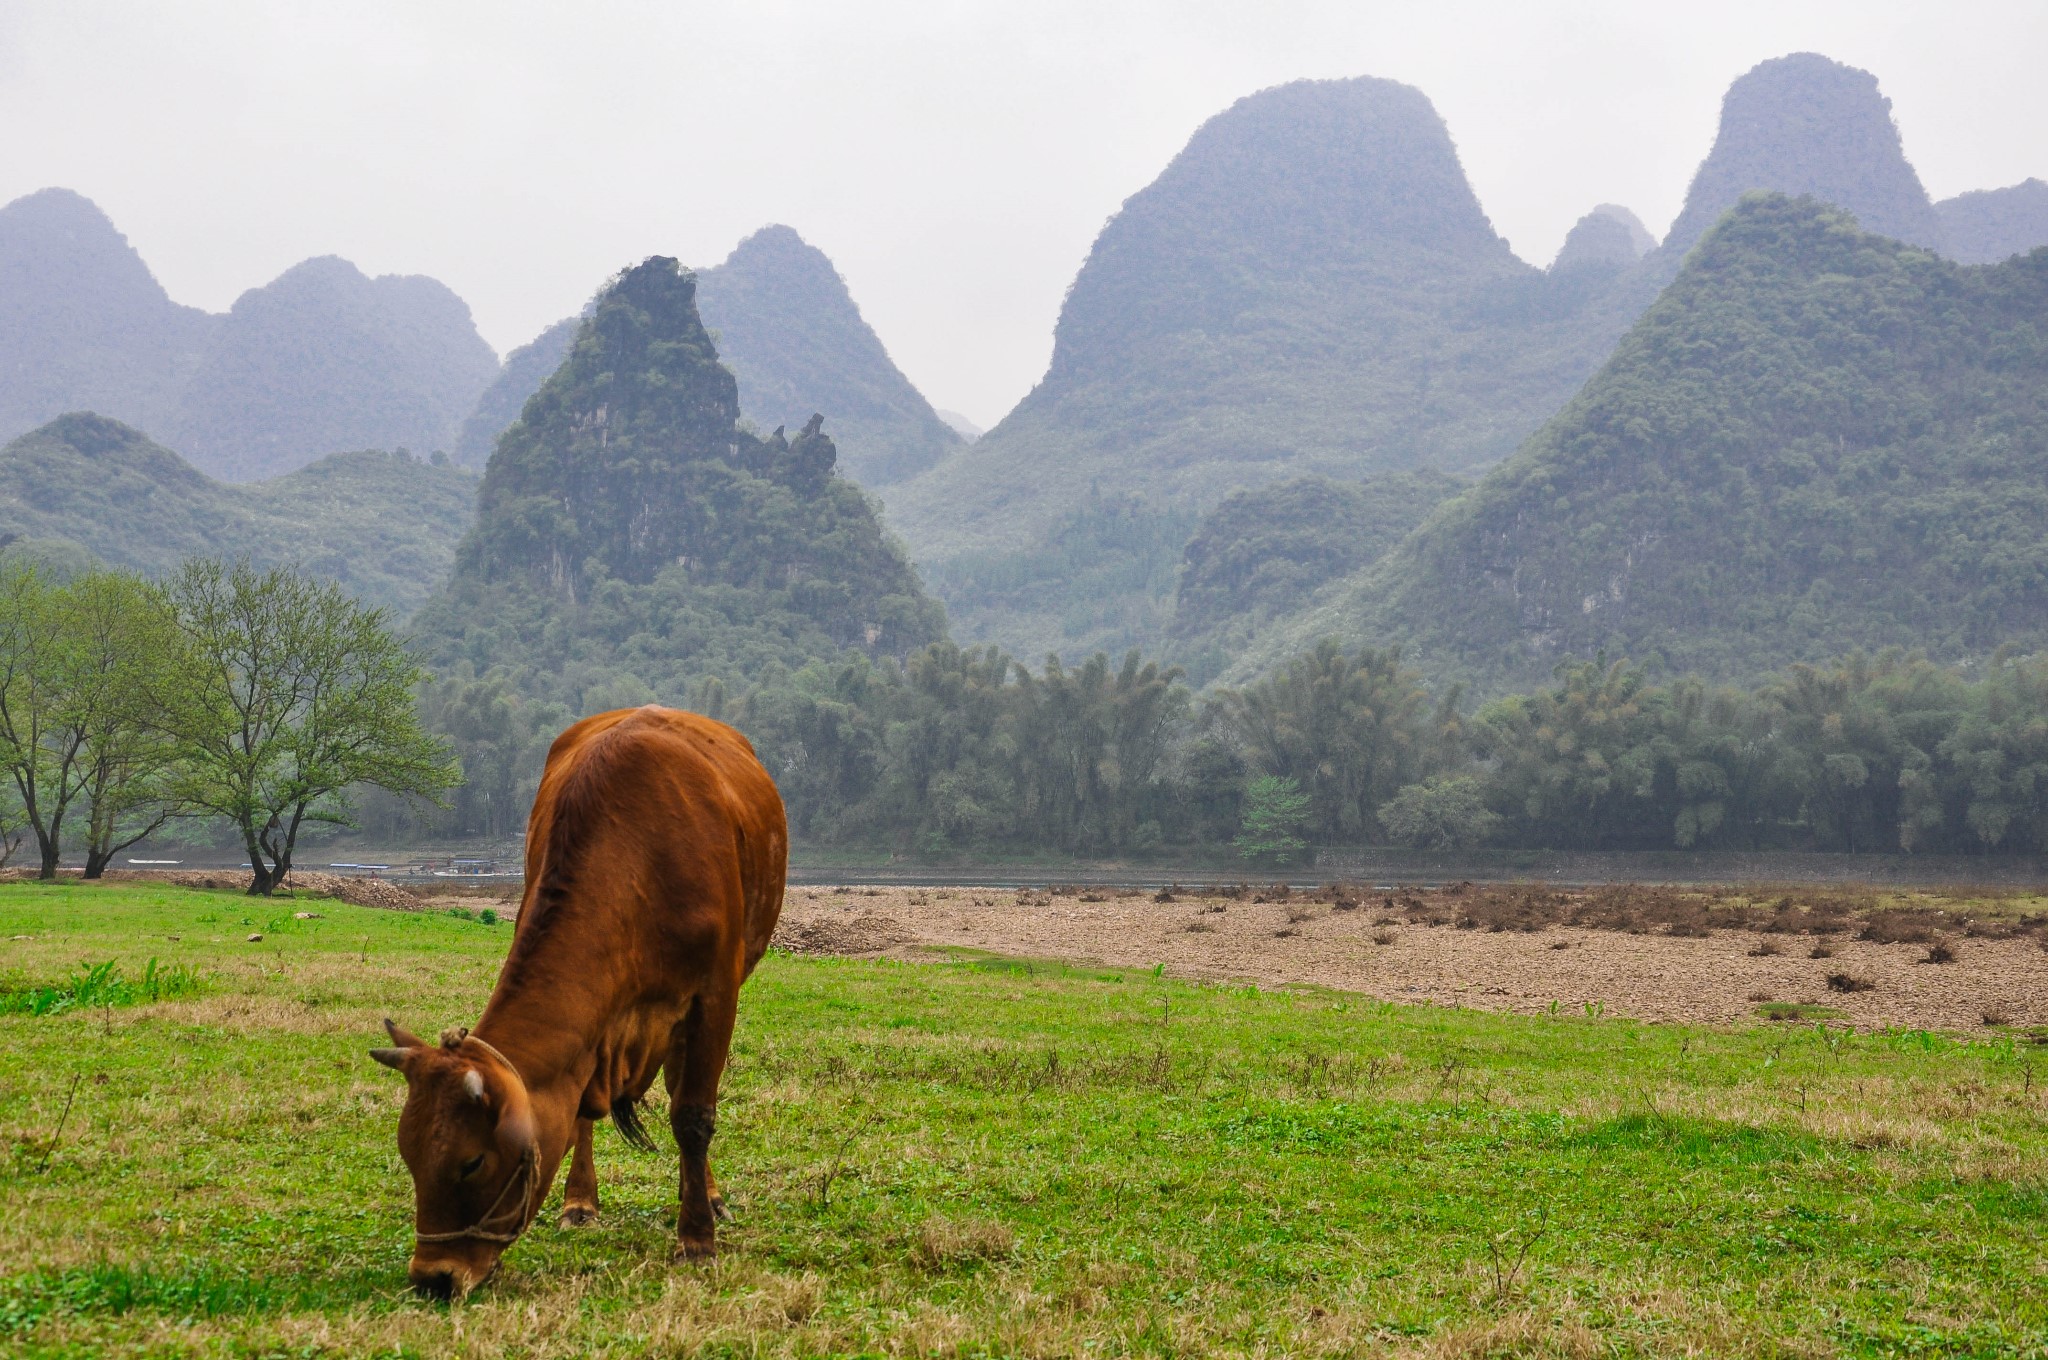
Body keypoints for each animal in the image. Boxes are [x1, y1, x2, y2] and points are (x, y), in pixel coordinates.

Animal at [368, 704, 782, 1294]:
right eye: (409, 1154)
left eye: (471, 1163)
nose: (433, 1277)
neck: (639, 862)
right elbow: (583, 1107)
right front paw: (583, 1203)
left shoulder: (717, 992)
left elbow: (693, 1113)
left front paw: (698, 1238)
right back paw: (582, 1203)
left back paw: (706, 1194)